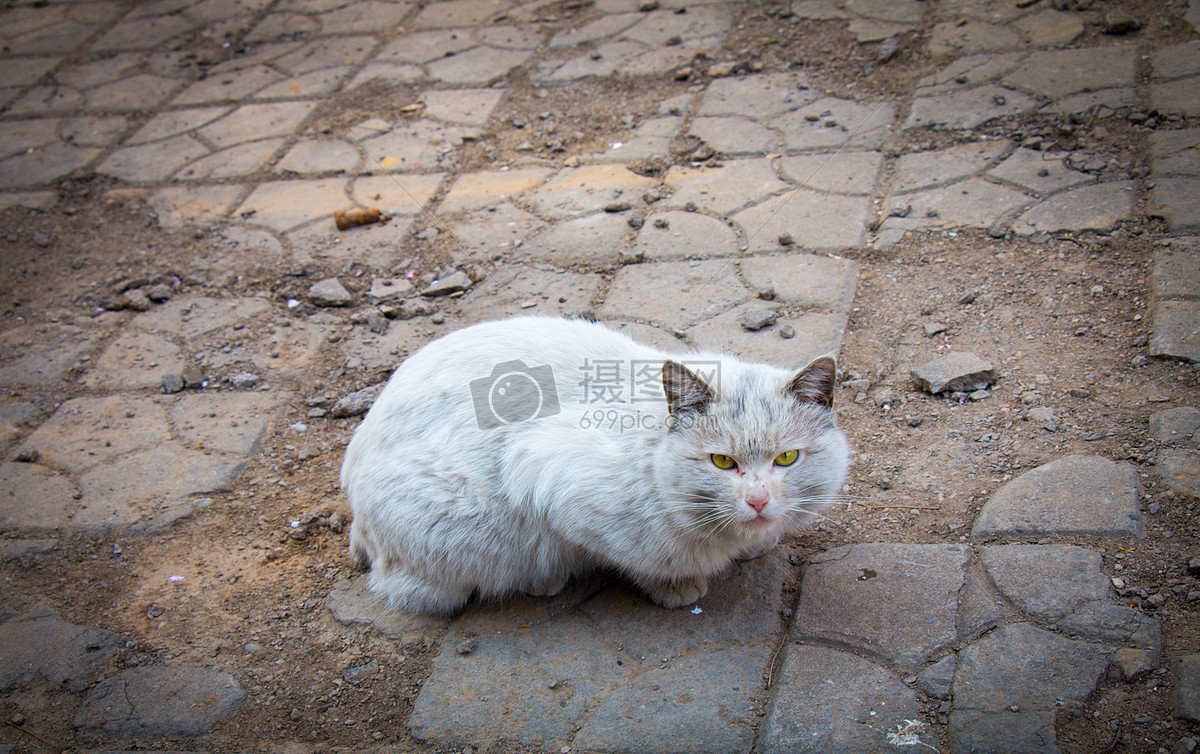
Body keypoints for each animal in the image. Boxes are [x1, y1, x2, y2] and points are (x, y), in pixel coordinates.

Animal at [338, 314, 849, 614]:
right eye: (722, 462)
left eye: (786, 458)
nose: (759, 501)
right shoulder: (545, 471)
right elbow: (641, 560)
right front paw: (678, 587)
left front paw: (758, 542)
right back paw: (543, 581)